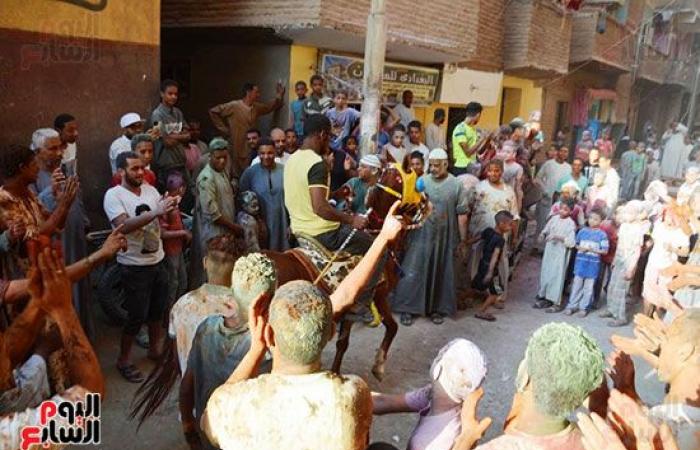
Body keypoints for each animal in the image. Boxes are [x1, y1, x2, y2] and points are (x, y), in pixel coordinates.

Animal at [130, 160, 426, 428]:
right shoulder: (379, 295)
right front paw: (379, 365)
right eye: (405, 177)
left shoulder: (352, 309)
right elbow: (392, 327)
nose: (424, 201)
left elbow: (344, 343)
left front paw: (336, 371)